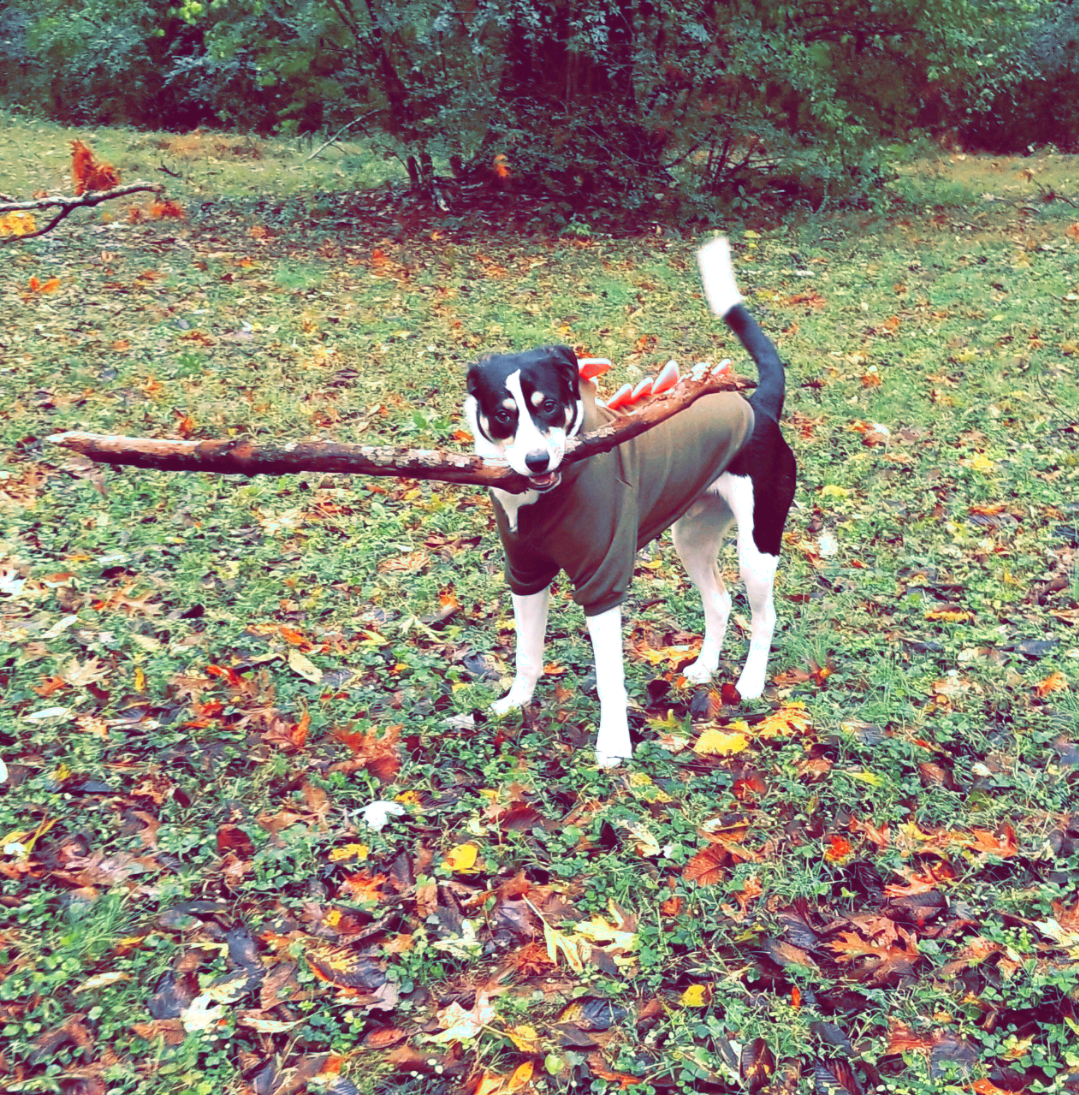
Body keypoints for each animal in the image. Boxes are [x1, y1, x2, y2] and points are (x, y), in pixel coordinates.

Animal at [464, 238, 796, 766]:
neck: (544, 495)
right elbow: (527, 655)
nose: (536, 461)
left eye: (549, 405)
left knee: (764, 616)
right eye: (502, 415)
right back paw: (705, 667)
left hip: (757, 546)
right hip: (692, 539)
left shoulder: (602, 583)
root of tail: (757, 405)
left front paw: (614, 745)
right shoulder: (525, 574)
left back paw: (750, 682)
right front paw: (516, 703)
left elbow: (610, 679)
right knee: (720, 602)